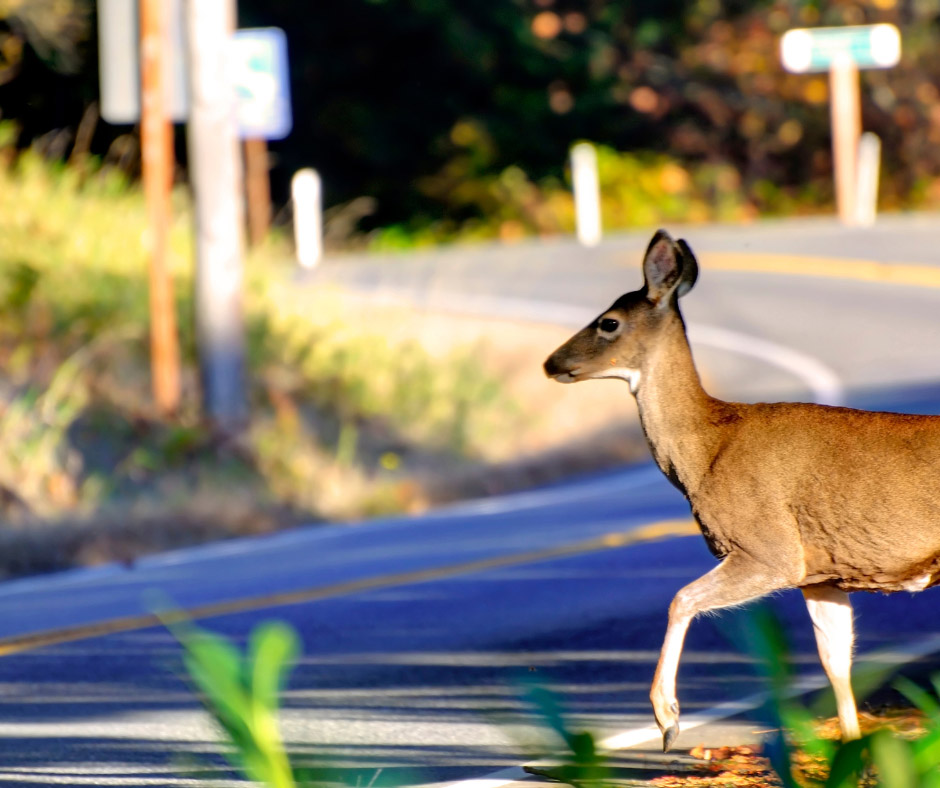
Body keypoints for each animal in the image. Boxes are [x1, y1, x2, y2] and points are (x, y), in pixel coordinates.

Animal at [544, 229, 940, 753]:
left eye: (609, 322)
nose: (551, 362)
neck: (707, 449)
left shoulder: (769, 548)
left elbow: (681, 598)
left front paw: (667, 719)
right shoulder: (822, 573)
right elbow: (835, 662)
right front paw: (851, 750)